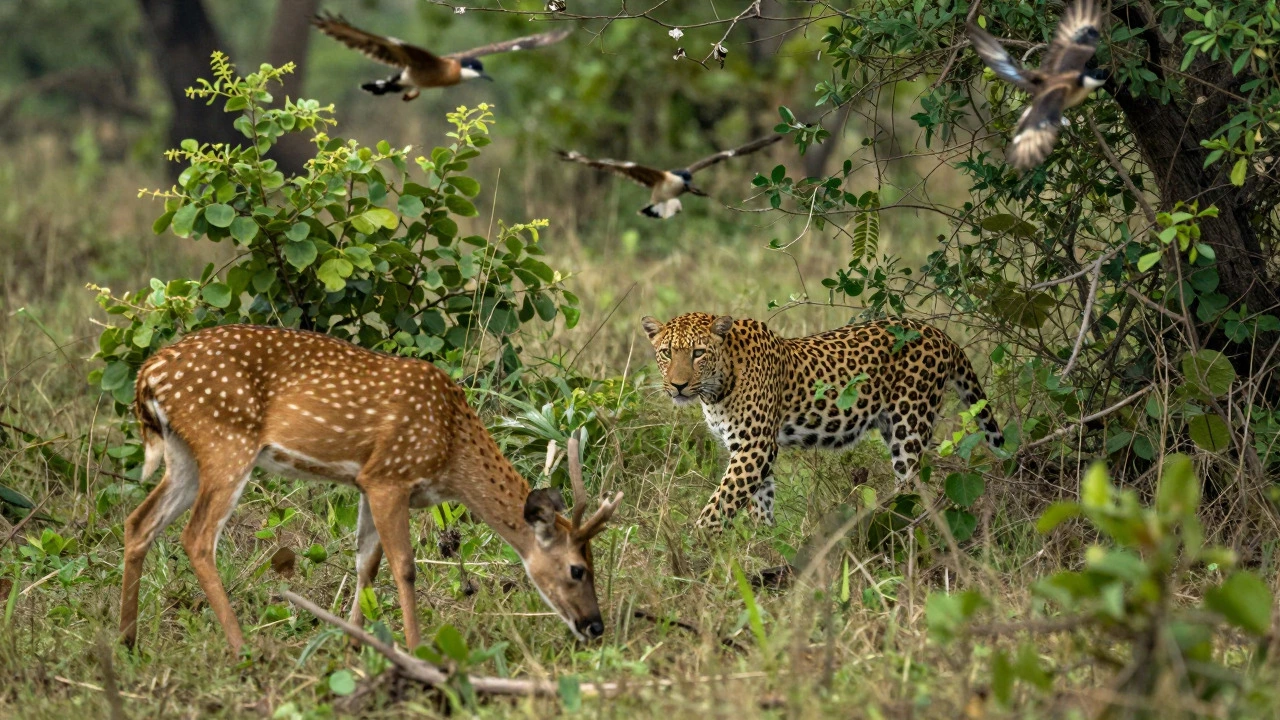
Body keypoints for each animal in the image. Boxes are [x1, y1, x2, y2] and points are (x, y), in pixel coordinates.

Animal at [119, 324, 623, 655]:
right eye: (578, 569)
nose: (595, 626)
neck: (452, 447)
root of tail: (148, 373)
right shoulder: (390, 477)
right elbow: (404, 566)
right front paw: (418, 650)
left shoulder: (366, 480)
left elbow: (366, 562)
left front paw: (353, 642)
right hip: (226, 440)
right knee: (197, 537)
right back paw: (242, 648)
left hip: (184, 455)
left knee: (139, 522)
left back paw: (128, 641)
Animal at [641, 312, 1004, 528]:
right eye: (666, 353)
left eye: (698, 353)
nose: (678, 385)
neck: (716, 389)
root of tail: (939, 333)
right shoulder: (749, 449)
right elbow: (759, 501)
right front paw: (761, 542)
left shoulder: (754, 447)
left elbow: (721, 503)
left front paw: (695, 550)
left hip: (909, 426)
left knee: (912, 484)